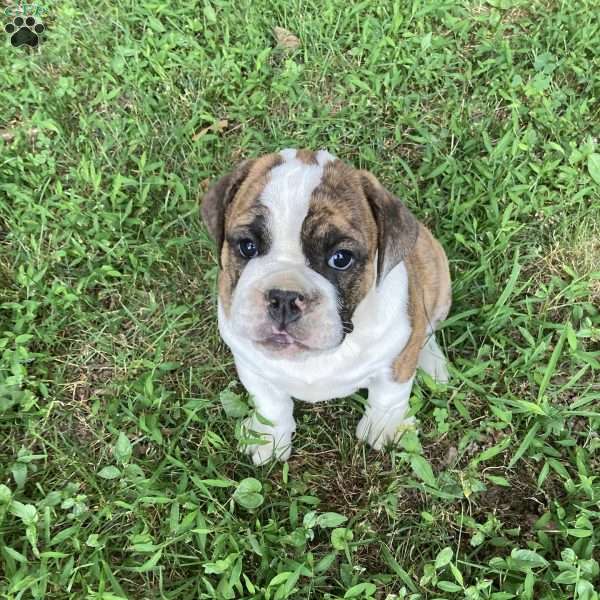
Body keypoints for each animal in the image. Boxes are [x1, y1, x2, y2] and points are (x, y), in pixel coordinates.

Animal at [202, 149, 450, 464]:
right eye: (247, 246)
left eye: (340, 258)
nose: (284, 297)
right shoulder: (251, 364)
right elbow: (270, 403)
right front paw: (269, 438)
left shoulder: (397, 360)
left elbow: (389, 395)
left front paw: (384, 427)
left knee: (428, 328)